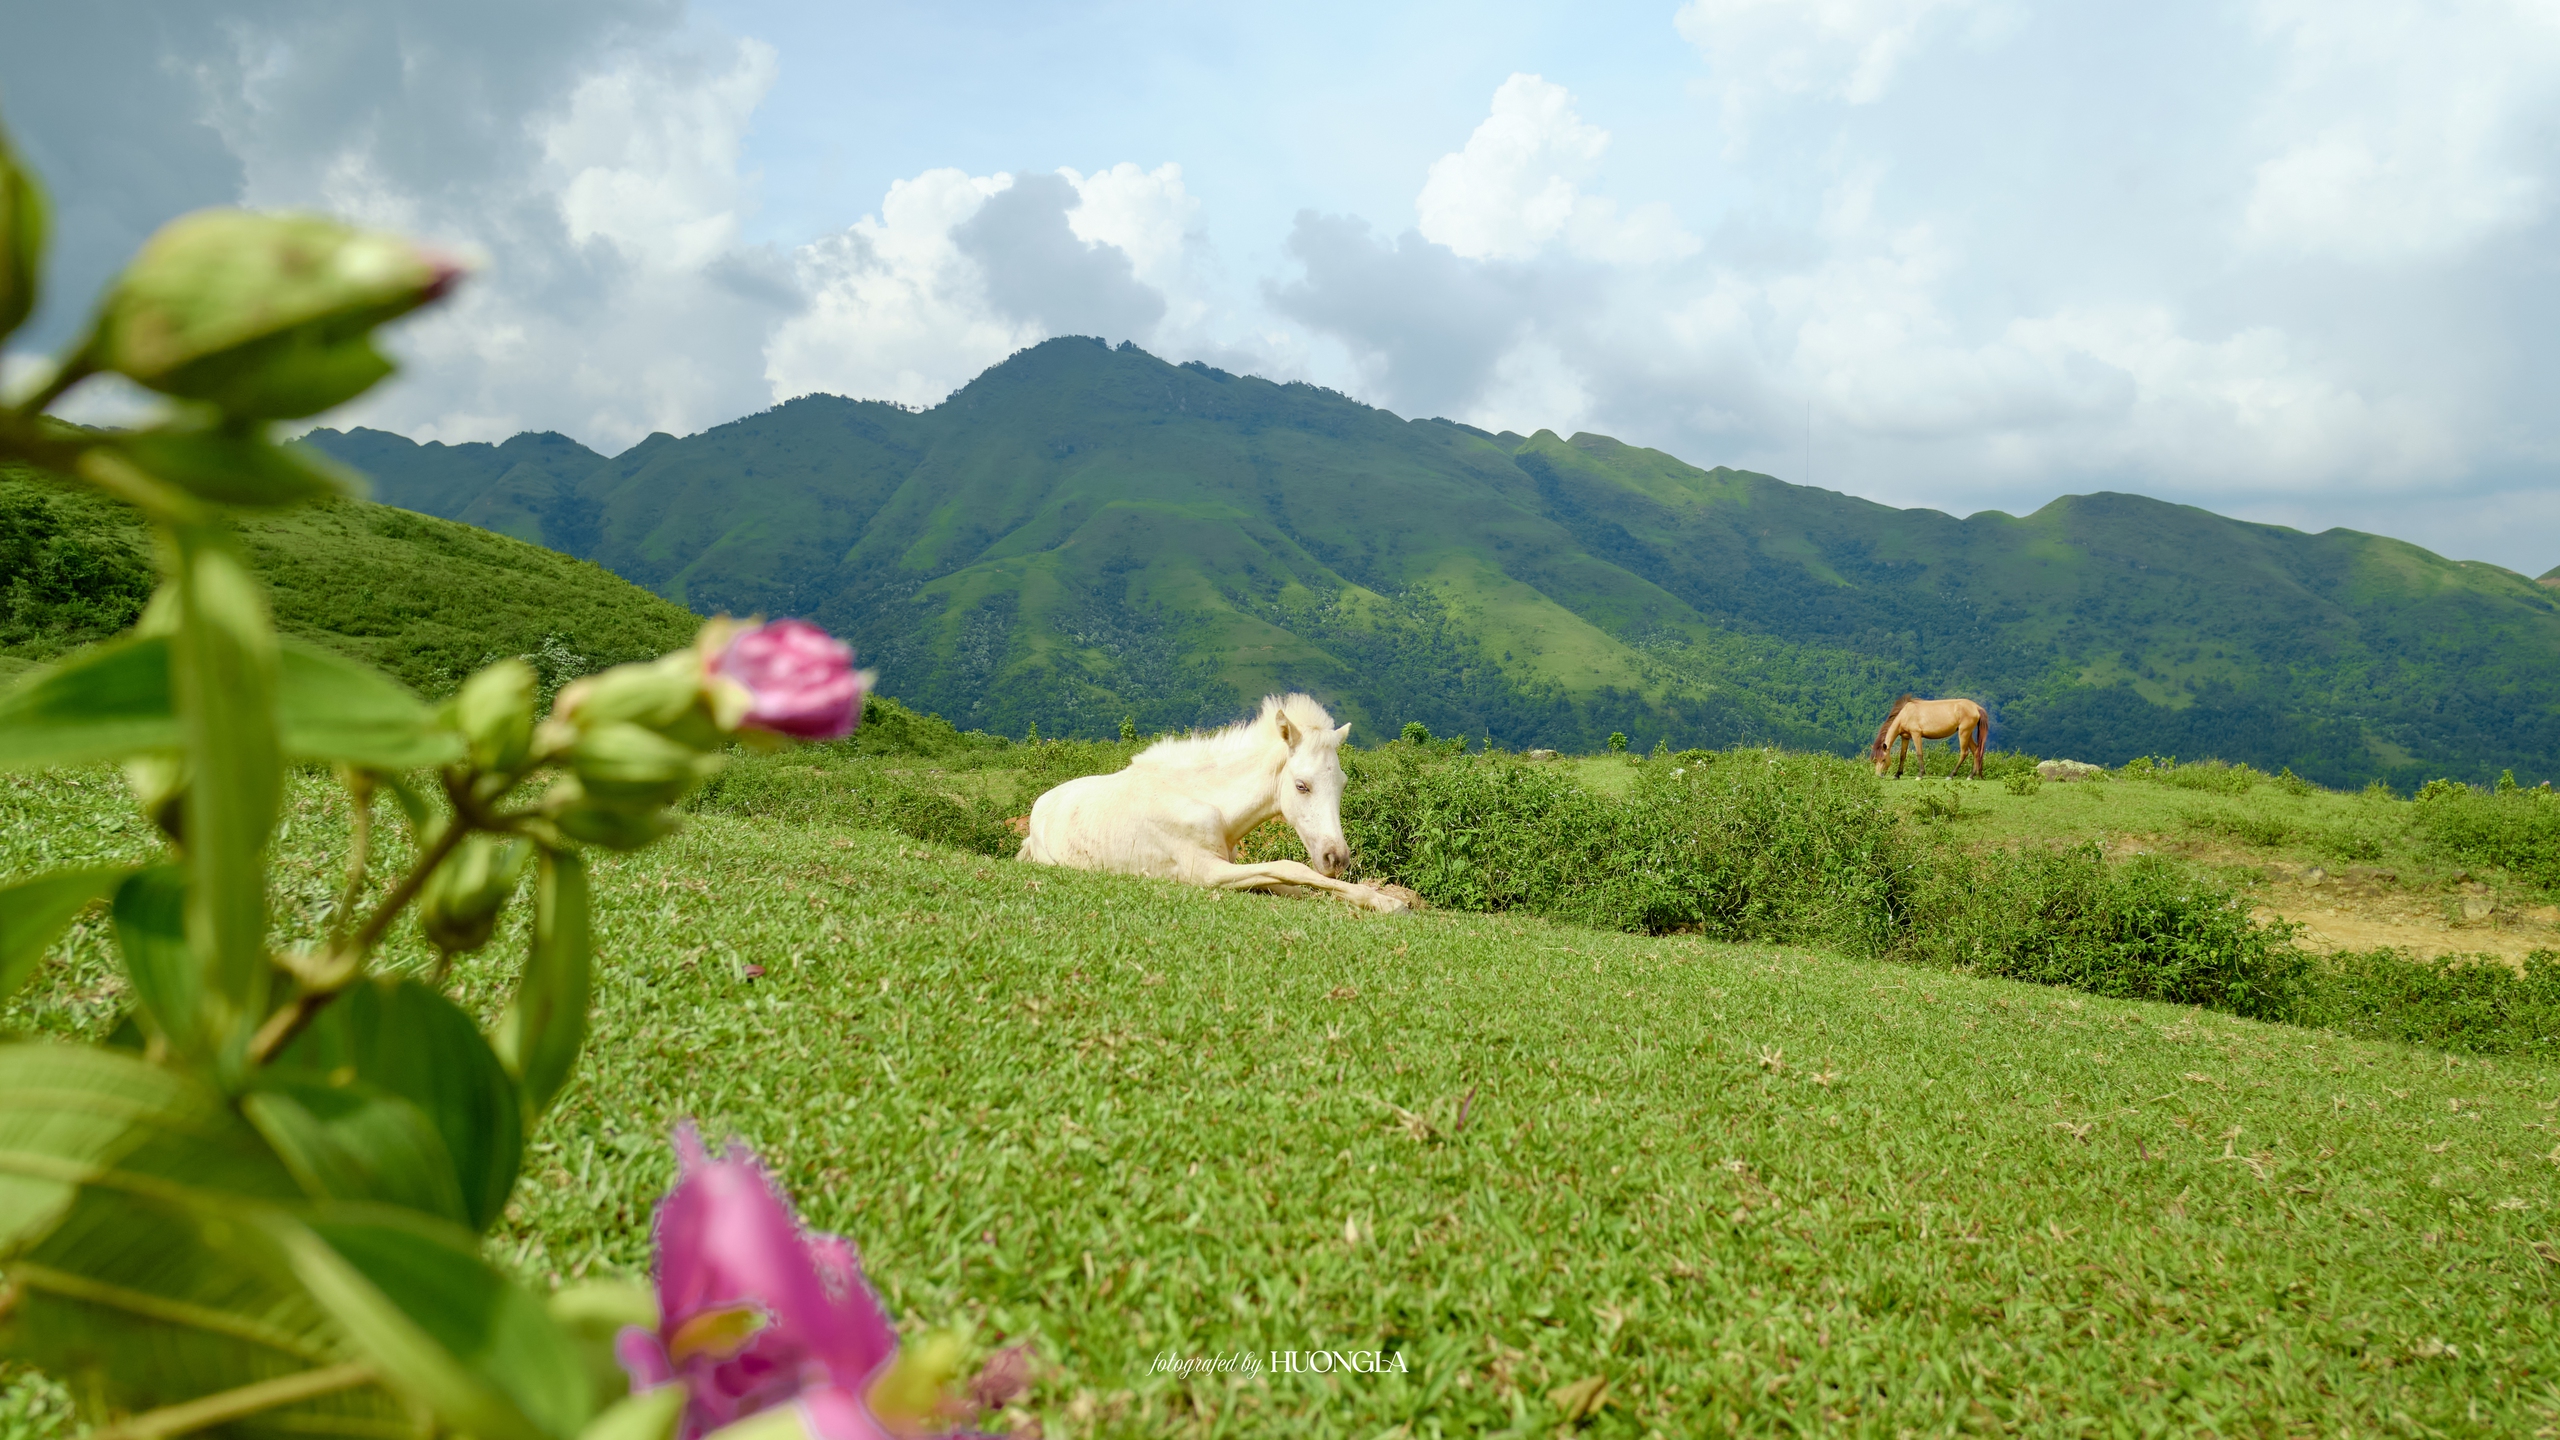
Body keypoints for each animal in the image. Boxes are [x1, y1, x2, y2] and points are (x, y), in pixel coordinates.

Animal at [1013, 691, 1413, 907]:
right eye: (1302, 786)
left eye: (1342, 784)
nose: (1337, 858)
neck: (1210, 805)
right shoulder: (1205, 872)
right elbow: (1293, 869)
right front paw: (1389, 903)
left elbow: (1292, 884)